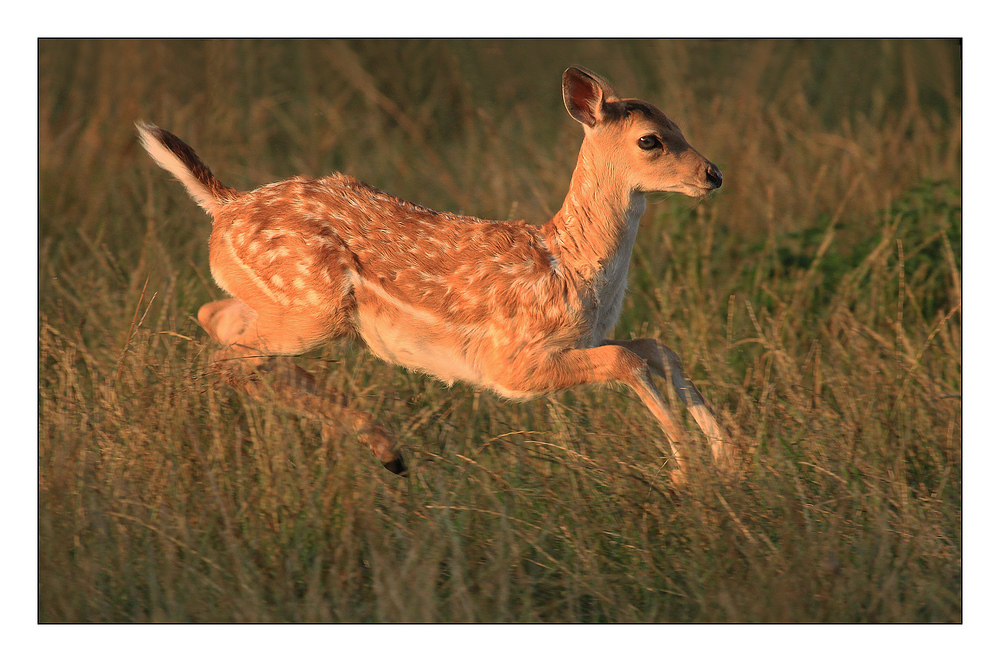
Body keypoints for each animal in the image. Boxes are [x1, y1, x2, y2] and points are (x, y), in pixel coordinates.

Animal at [137, 67, 728, 488]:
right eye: (651, 140)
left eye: (680, 125)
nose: (714, 174)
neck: (569, 265)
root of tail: (225, 206)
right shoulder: (511, 362)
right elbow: (625, 359)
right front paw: (686, 471)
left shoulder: (579, 341)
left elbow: (654, 346)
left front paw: (728, 456)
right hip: (311, 308)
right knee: (228, 359)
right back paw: (386, 448)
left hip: (293, 309)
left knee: (218, 320)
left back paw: (387, 450)